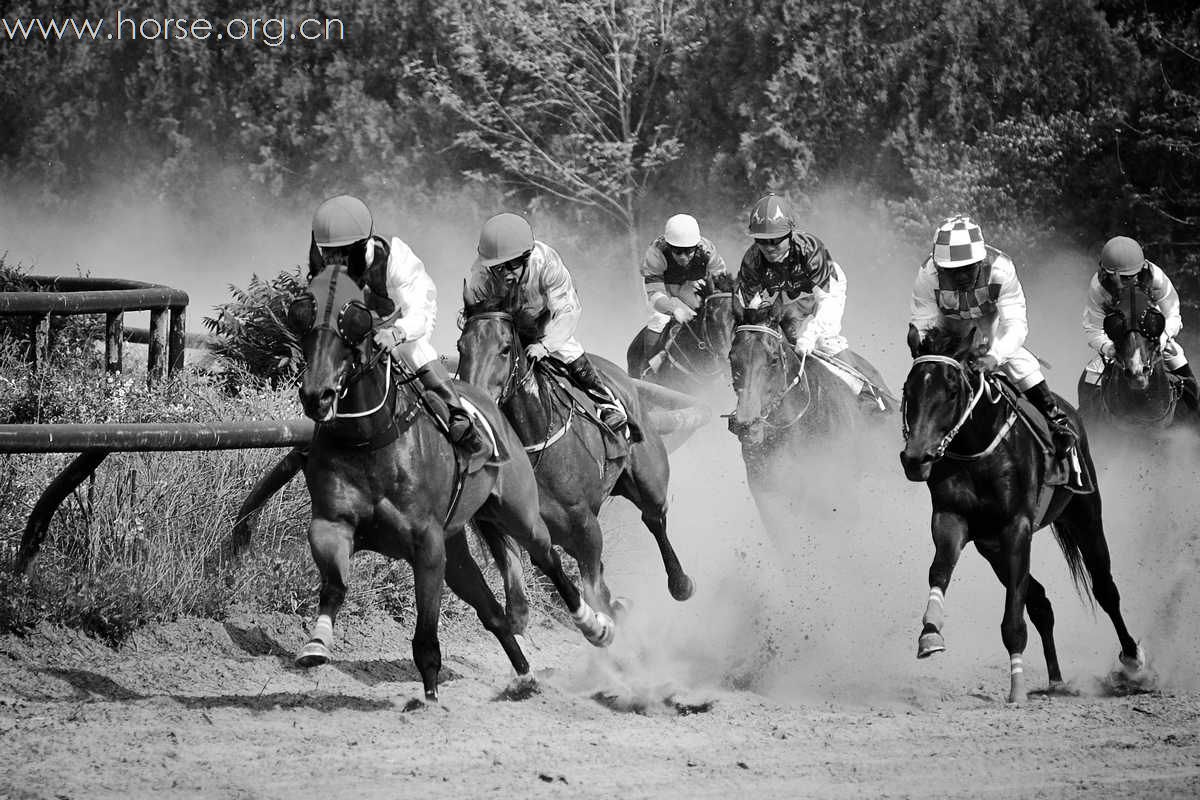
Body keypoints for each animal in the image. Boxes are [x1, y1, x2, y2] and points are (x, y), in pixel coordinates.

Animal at [288, 263, 609, 700]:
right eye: (302, 314)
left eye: (353, 320)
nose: (317, 395)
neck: (371, 439)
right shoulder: (331, 525)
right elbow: (335, 584)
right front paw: (316, 644)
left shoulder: (428, 545)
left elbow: (426, 637)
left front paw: (429, 701)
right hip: (459, 545)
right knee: (493, 612)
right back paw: (525, 676)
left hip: (520, 516)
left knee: (549, 558)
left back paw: (594, 624)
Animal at [460, 299, 700, 618]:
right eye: (462, 346)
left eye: (504, 348)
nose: (473, 403)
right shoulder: (509, 530)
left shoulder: (586, 527)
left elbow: (594, 589)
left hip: (649, 478)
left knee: (654, 518)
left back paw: (680, 584)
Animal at [902, 323, 1147, 700]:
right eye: (908, 389)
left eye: (953, 391)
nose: (916, 458)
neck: (979, 450)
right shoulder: (951, 519)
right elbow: (939, 571)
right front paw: (930, 633)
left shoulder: (1016, 526)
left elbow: (1013, 615)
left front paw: (1016, 688)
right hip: (991, 548)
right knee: (1041, 602)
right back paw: (1056, 679)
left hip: (1085, 514)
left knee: (1106, 589)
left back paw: (1132, 659)